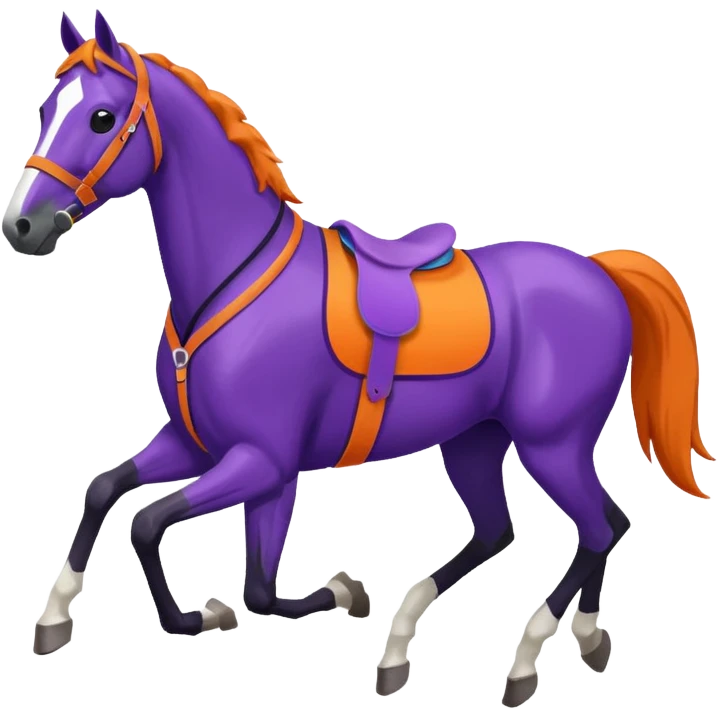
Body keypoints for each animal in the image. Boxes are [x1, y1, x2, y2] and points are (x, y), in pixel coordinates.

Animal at [5, 10, 713, 706]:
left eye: (101, 117)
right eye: (46, 108)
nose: (23, 227)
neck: (231, 282)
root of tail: (599, 273)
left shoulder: (263, 462)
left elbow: (167, 536)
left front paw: (252, 606)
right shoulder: (198, 444)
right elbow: (109, 493)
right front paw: (55, 617)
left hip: (552, 445)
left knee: (598, 528)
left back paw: (525, 660)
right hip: (474, 440)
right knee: (511, 530)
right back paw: (487, 642)